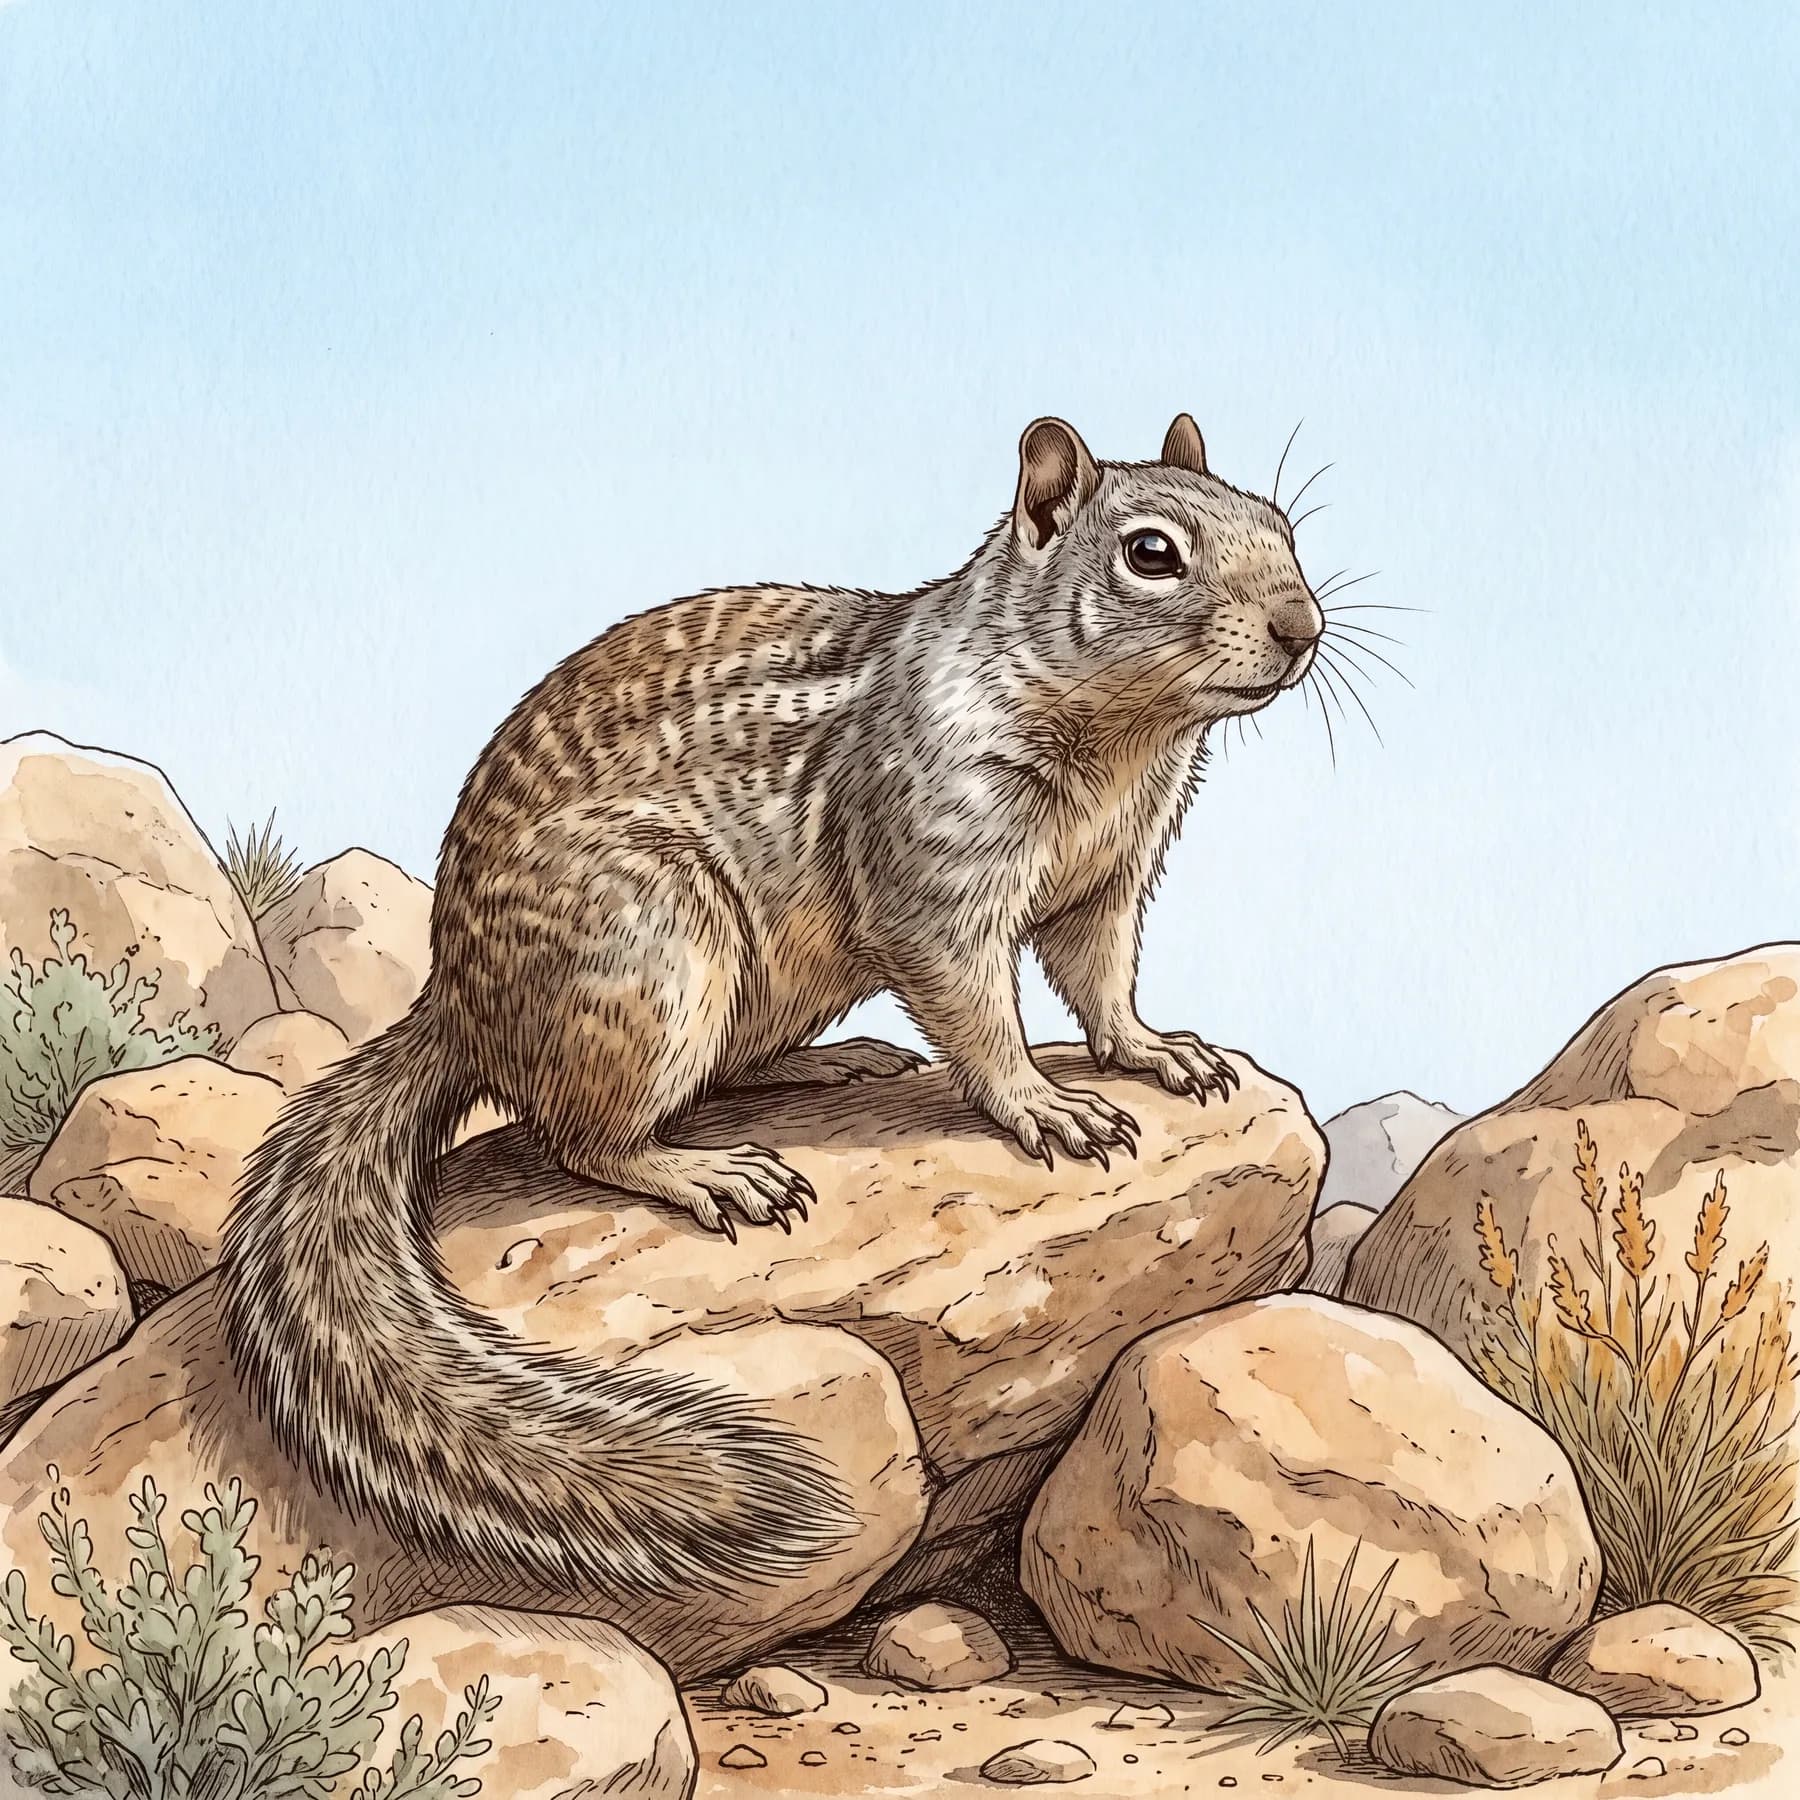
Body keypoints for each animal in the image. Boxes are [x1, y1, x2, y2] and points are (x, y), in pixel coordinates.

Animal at [218, 411, 1325, 1599]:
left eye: (1281, 526)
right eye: (1152, 554)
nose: (1303, 628)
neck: (1120, 741)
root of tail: (458, 1008)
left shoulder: (1112, 876)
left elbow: (1102, 980)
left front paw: (1156, 1052)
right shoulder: (934, 872)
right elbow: (978, 1006)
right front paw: (1043, 1104)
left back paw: (830, 1064)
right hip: (654, 954)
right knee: (578, 1137)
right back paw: (709, 1173)